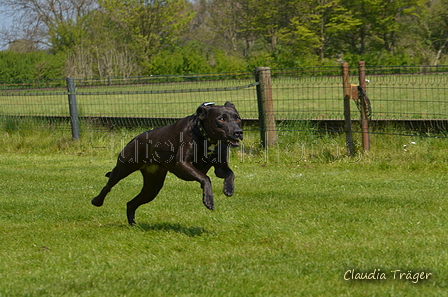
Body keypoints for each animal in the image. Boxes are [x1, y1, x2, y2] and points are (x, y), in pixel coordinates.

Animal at [91, 100, 243, 223]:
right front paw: (208, 200)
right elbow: (205, 178)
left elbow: (231, 173)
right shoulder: (183, 165)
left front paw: (228, 189)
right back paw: (97, 201)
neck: (206, 137)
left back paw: (133, 224)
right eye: (221, 119)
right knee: (108, 186)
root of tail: (135, 138)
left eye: (238, 119)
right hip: (123, 168)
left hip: (152, 187)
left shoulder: (220, 167)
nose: (238, 132)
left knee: (131, 203)